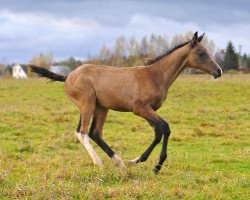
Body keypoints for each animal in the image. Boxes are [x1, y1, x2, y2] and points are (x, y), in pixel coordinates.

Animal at [29, 31, 223, 173]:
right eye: (201, 53)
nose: (218, 71)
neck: (155, 75)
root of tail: (69, 76)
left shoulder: (150, 111)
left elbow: (159, 132)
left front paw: (139, 161)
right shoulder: (141, 109)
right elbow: (164, 129)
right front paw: (153, 165)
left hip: (101, 107)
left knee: (95, 133)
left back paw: (119, 164)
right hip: (87, 104)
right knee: (82, 132)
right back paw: (99, 163)